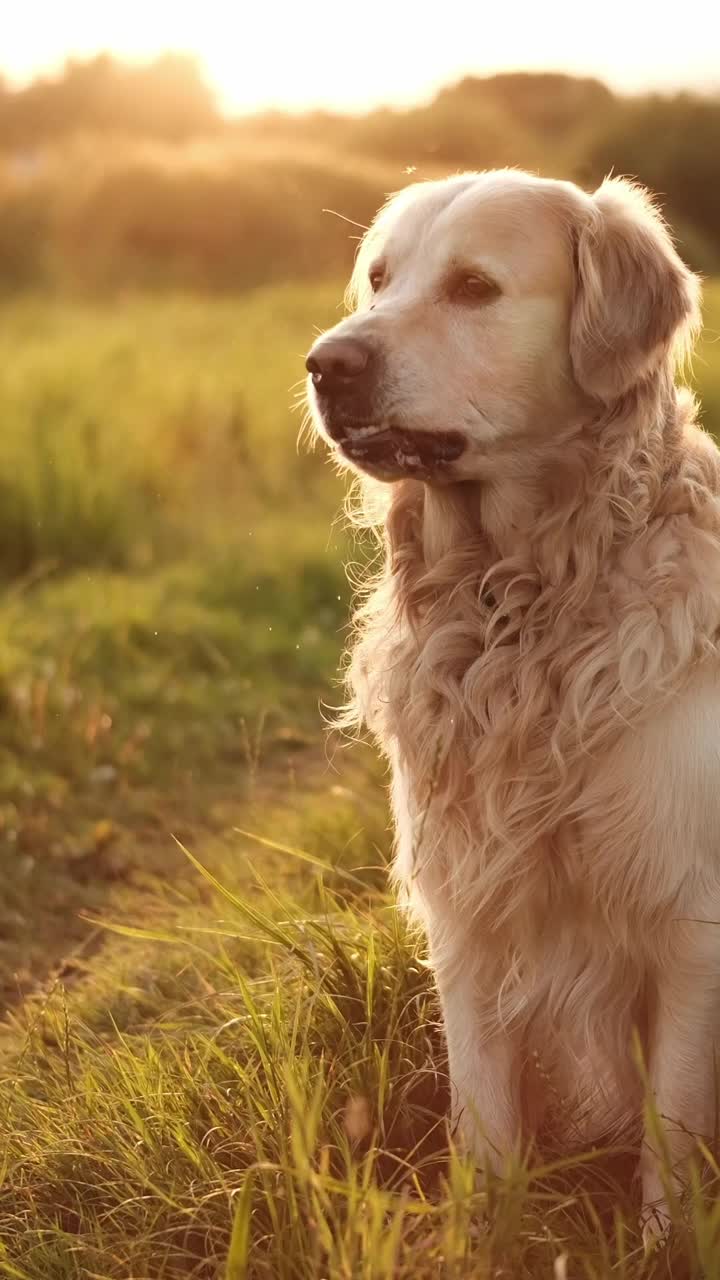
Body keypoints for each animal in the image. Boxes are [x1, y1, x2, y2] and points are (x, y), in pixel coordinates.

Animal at [303, 165, 717, 1233]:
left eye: (474, 288)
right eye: (380, 278)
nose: (327, 364)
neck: (517, 607)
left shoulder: (689, 917)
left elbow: (671, 1130)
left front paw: (664, 1243)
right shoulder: (469, 913)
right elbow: (482, 1118)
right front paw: (483, 1236)